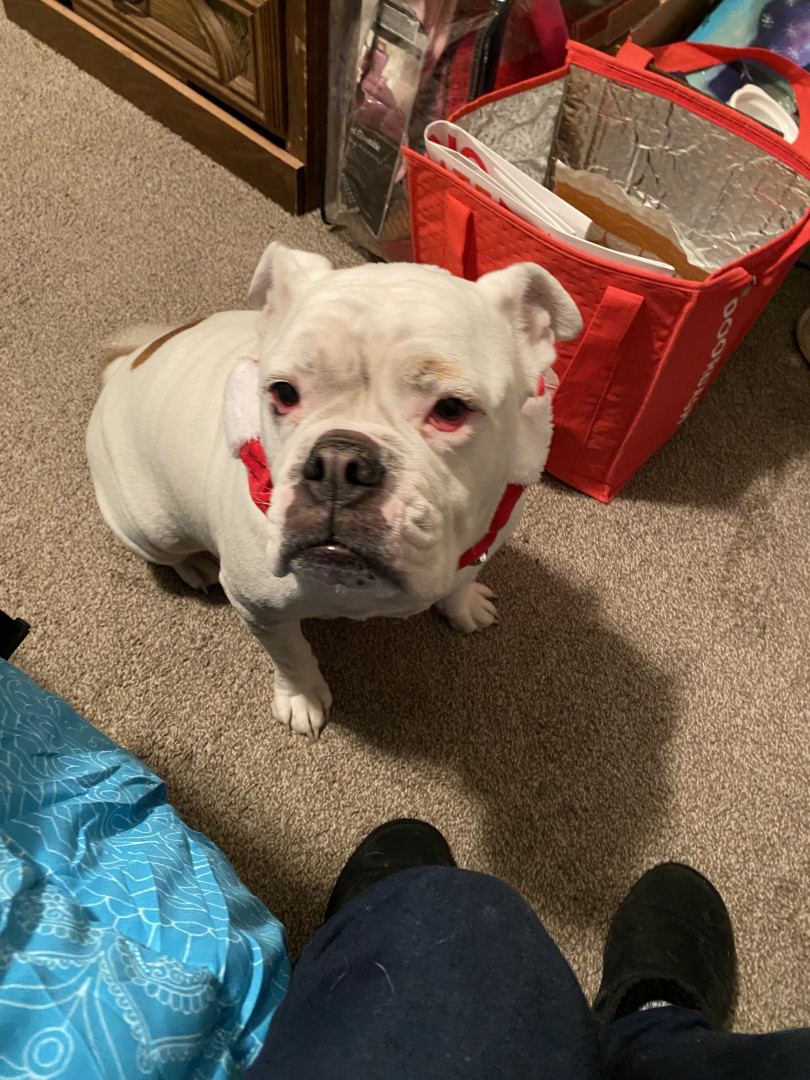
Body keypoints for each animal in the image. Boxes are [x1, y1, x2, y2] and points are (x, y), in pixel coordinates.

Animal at [86, 244, 581, 739]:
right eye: (283, 393)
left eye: (450, 409)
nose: (339, 463)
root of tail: (128, 362)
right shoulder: (260, 610)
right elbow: (291, 657)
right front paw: (301, 698)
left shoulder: (482, 541)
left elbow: (461, 582)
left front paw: (463, 606)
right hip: (151, 527)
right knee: (169, 549)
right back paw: (195, 565)